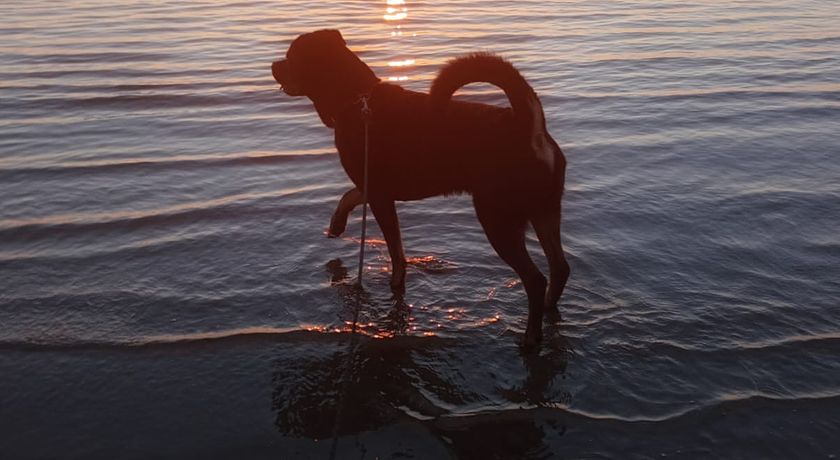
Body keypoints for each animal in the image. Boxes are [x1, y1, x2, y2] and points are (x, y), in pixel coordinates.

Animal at [274, 29, 572, 344]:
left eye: (291, 57)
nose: (273, 66)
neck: (356, 99)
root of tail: (528, 126)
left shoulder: (379, 195)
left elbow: (396, 251)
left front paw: (396, 284)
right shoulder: (374, 187)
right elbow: (350, 196)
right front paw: (337, 224)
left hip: (497, 218)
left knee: (535, 279)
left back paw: (531, 336)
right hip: (545, 211)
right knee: (559, 266)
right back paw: (549, 307)